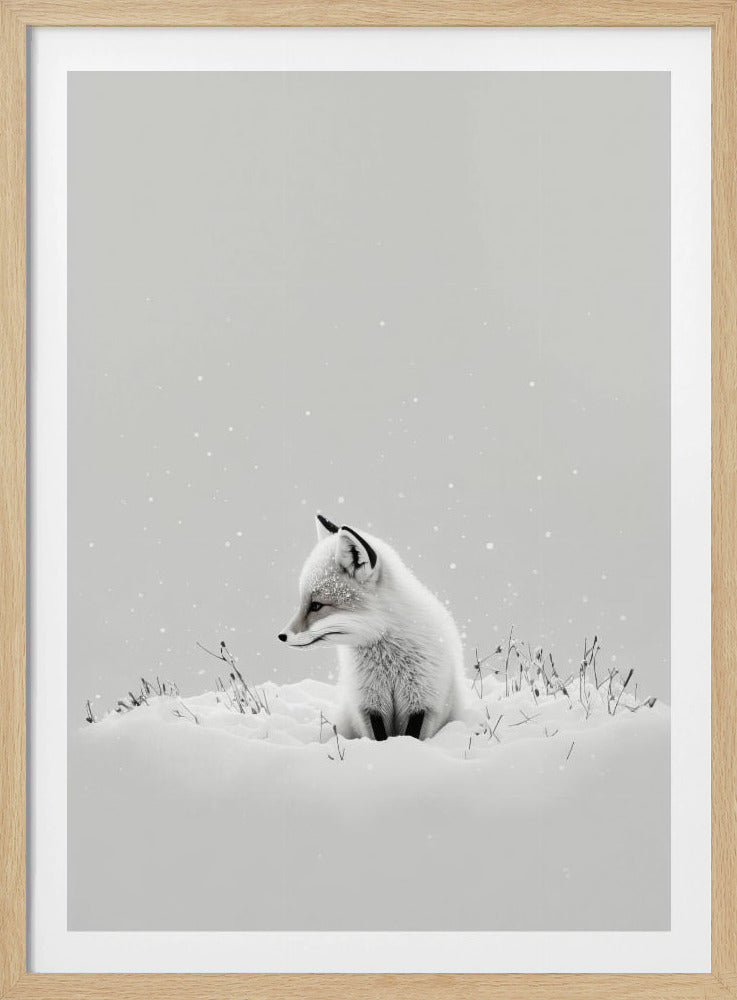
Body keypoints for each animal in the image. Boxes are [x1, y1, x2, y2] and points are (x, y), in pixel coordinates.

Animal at [278, 513, 467, 741]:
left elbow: (411, 736)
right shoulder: (369, 704)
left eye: (316, 605)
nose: (281, 636)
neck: (389, 663)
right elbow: (379, 737)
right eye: (303, 603)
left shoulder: (422, 701)